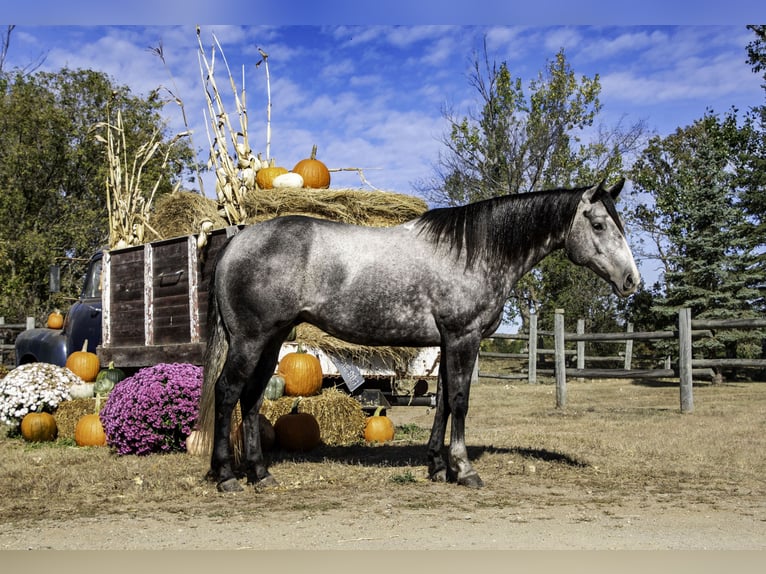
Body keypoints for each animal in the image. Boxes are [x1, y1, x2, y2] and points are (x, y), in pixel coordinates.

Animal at [195, 181, 640, 496]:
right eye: (598, 224)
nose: (631, 281)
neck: (474, 252)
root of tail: (237, 241)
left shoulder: (446, 344)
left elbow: (442, 403)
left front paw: (438, 467)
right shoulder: (464, 338)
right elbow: (460, 401)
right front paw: (464, 469)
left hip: (270, 341)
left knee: (252, 399)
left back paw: (260, 474)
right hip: (249, 340)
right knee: (228, 392)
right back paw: (227, 477)